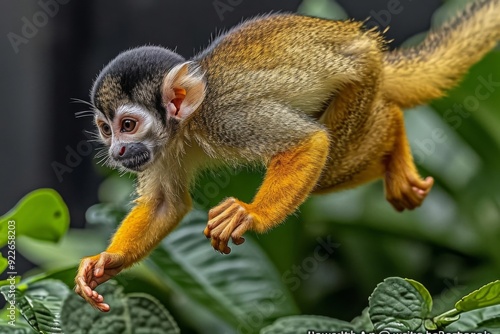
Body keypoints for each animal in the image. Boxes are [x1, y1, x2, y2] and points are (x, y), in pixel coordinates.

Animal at [75, 1, 500, 312]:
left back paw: (393, 128)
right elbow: (167, 203)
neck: (188, 123)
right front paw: (106, 262)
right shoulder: (162, 151)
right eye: (106, 129)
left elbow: (308, 143)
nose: (116, 150)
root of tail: (364, 42)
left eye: (128, 124)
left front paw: (251, 215)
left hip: (361, 84)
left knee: (329, 161)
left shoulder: (227, 116)